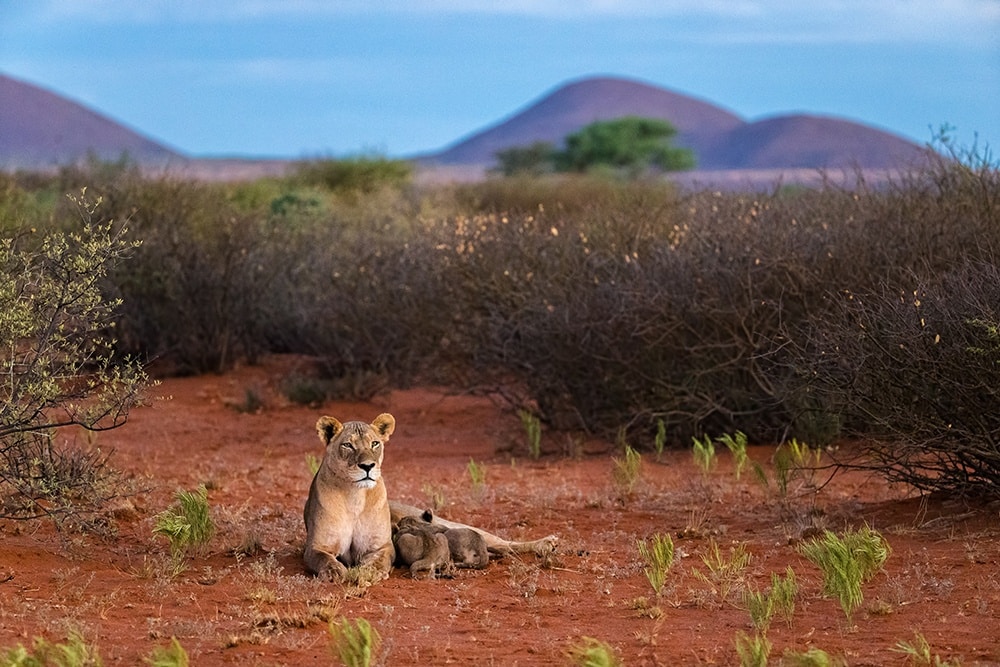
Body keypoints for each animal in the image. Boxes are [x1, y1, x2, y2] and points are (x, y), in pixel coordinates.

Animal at [304, 413, 558, 583]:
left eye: (375, 443)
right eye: (347, 445)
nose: (368, 466)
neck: (354, 495)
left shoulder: (382, 546)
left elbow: (378, 560)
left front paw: (368, 572)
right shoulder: (315, 547)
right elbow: (324, 559)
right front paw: (335, 571)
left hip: (450, 524)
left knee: (505, 543)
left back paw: (547, 543)